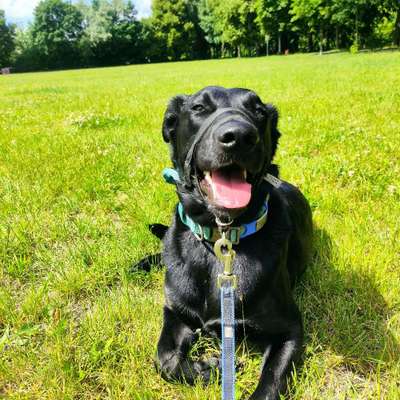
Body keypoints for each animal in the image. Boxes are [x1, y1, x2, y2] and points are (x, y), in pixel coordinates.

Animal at [145, 87, 310, 400]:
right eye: (198, 107)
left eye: (259, 111)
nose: (240, 136)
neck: (222, 235)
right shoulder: (174, 312)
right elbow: (165, 358)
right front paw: (206, 368)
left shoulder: (289, 330)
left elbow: (270, 384)